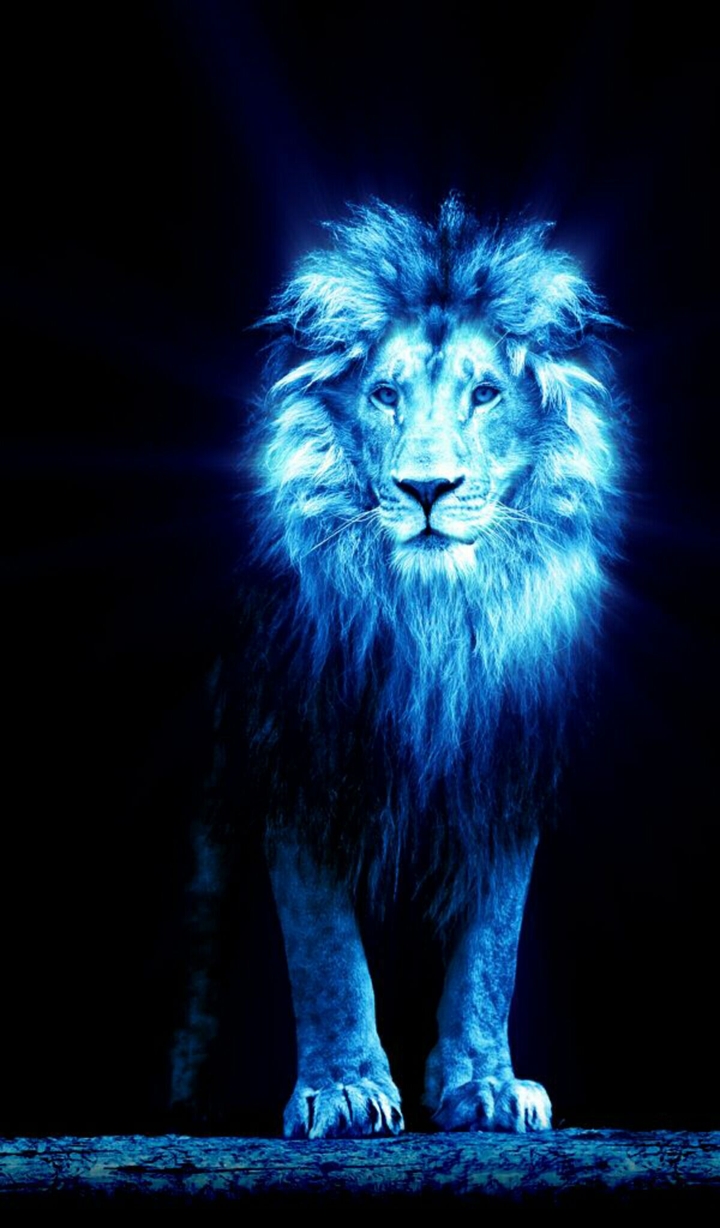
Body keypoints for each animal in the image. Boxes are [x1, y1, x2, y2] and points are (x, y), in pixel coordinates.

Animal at [245, 196, 625, 1138]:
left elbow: (493, 947)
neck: (435, 627)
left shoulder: (507, 765)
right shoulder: (298, 751)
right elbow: (325, 946)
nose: (427, 489)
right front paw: (344, 1089)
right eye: (385, 395)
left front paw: (485, 1085)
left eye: (485, 394)